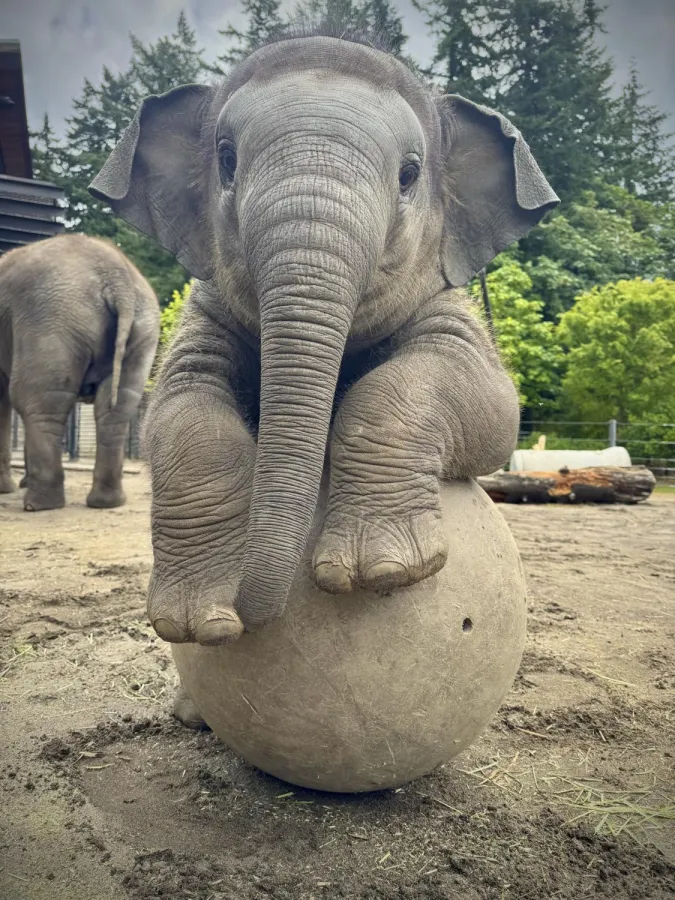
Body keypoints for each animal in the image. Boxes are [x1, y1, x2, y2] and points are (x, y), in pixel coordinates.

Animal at [0, 234, 160, 511]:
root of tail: (118, 278)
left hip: (50, 321)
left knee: (37, 403)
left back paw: (39, 505)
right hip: (143, 330)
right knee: (116, 409)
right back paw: (107, 503)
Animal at [90, 30, 559, 646]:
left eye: (409, 175)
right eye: (227, 160)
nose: (254, 613)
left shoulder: (446, 304)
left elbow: (493, 407)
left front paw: (381, 570)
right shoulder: (204, 315)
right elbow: (179, 412)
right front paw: (199, 624)